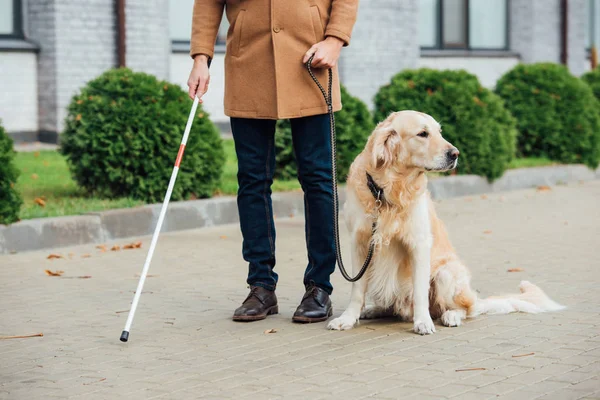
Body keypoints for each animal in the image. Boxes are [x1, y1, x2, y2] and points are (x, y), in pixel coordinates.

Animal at [326, 110, 564, 334]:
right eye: (423, 134)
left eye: (439, 132)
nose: (455, 154)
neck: (388, 189)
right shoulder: (359, 242)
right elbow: (357, 290)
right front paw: (348, 319)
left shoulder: (419, 243)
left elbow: (420, 291)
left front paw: (422, 322)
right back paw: (373, 310)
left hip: (446, 274)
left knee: (465, 309)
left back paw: (450, 316)